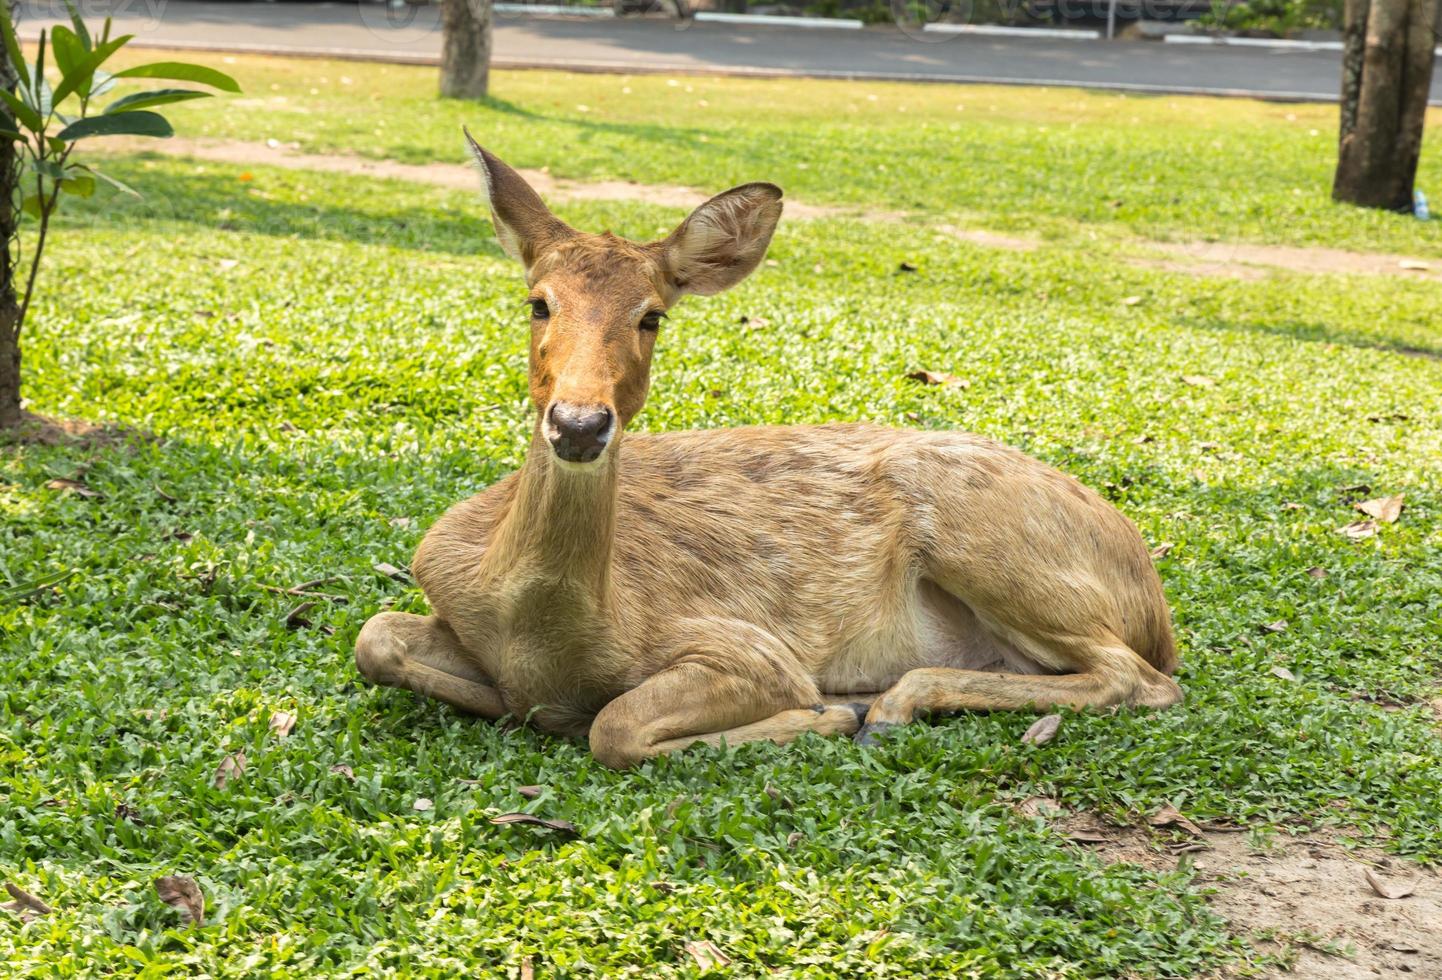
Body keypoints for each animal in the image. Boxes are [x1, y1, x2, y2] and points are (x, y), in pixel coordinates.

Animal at [351, 134, 1182, 766]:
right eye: (539, 302)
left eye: (653, 315)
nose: (580, 424)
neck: (539, 629)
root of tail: (1154, 603)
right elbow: (374, 638)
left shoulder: (741, 643)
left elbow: (614, 726)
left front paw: (824, 714)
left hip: (991, 539)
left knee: (1139, 677)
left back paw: (882, 706)